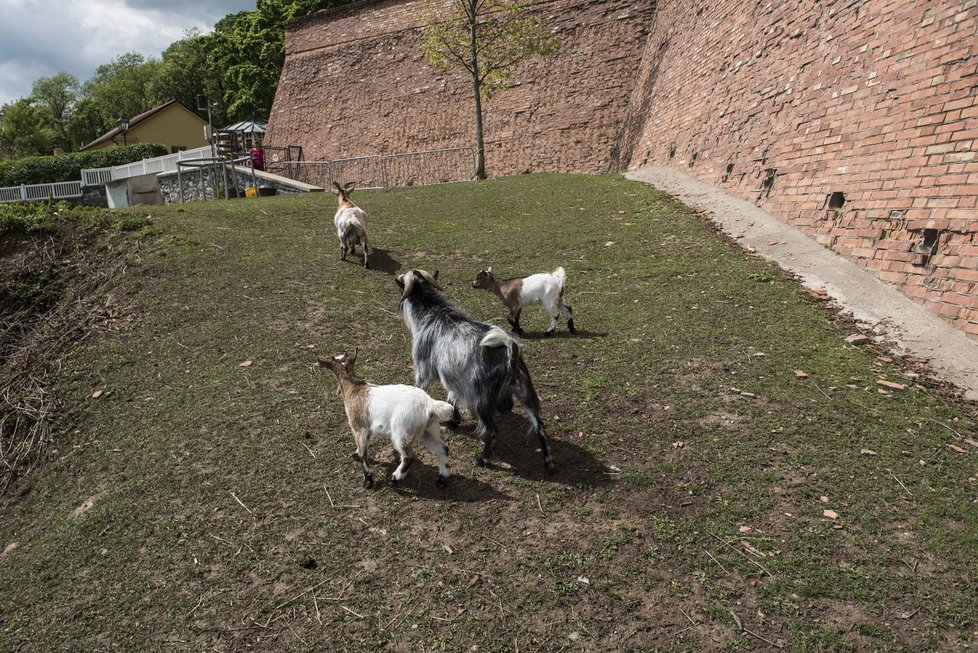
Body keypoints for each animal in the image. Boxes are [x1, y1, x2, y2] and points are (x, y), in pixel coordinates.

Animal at [324, 348, 454, 486]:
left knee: (409, 456)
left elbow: (363, 452)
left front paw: (368, 481)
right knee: (443, 449)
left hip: (401, 429)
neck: (354, 388)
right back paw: (442, 477)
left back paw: (395, 477)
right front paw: (356, 455)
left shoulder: (360, 427)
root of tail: (430, 404)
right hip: (429, 429)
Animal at [392, 268, 552, 468]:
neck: (432, 315)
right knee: (540, 426)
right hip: (525, 391)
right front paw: (453, 421)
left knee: (492, 431)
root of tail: (511, 352)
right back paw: (548, 462)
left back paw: (482, 458)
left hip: (482, 398)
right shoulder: (451, 375)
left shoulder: (423, 373)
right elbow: (452, 398)